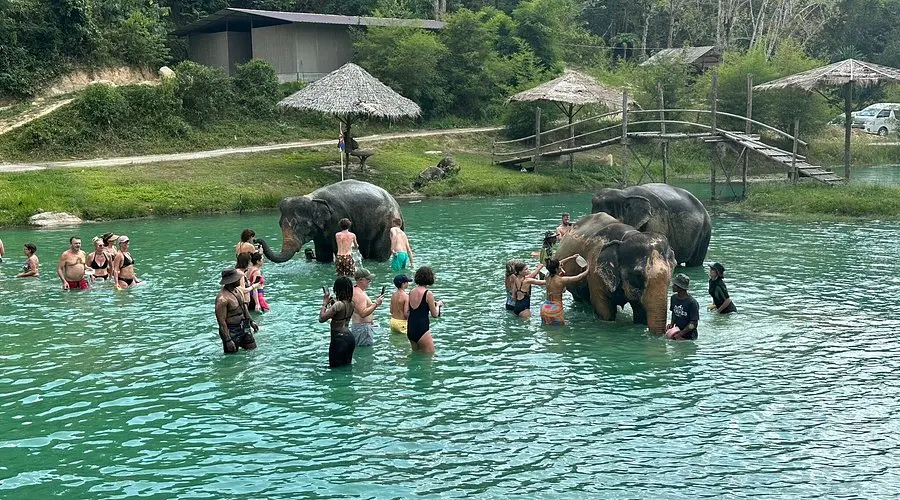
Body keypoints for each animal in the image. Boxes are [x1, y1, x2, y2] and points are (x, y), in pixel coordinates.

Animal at [256, 179, 403, 263]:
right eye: (280, 224)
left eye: (299, 226)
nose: (257, 240)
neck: (312, 199)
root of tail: (397, 205)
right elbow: (322, 254)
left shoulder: (337, 219)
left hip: (389, 225)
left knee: (379, 252)